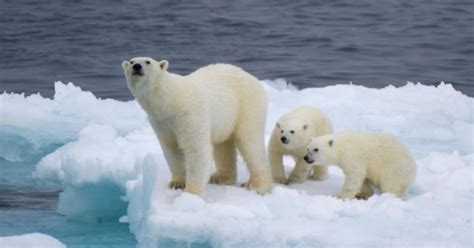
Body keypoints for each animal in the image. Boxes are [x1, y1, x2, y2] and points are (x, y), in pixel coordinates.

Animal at [122, 57, 270, 197]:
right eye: (131, 61)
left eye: (147, 61)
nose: (137, 66)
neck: (170, 101)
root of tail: (254, 79)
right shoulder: (161, 122)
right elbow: (171, 148)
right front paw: (176, 183)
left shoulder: (189, 114)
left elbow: (195, 149)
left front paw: (191, 193)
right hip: (225, 119)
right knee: (223, 145)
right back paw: (220, 177)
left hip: (246, 105)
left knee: (250, 142)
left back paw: (257, 185)